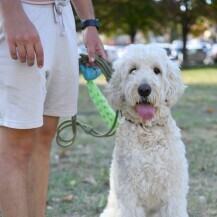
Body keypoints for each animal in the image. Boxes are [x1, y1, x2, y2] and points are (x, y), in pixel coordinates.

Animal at [99, 44, 188, 217]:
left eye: (156, 70)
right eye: (133, 70)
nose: (144, 89)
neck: (148, 131)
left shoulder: (173, 194)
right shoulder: (128, 195)